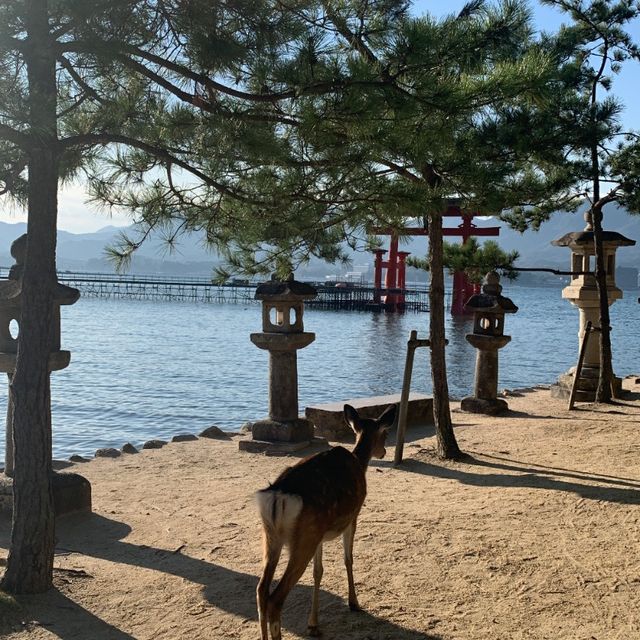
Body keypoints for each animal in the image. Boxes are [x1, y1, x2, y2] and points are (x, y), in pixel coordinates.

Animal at [254, 404, 396, 640]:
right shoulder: (353, 517)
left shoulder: (320, 534)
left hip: (272, 537)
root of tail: (278, 496)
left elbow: (318, 571)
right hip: (304, 538)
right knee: (275, 598)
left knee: (261, 591)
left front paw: (313, 624)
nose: (384, 452)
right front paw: (354, 603)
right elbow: (348, 559)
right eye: (384, 434)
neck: (360, 463)